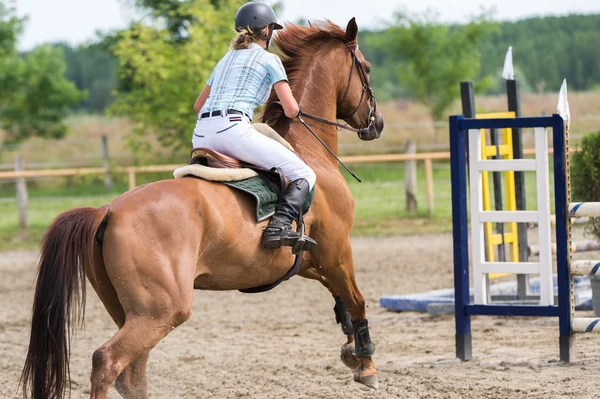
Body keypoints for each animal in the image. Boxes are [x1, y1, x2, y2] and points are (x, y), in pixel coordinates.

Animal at [21, 18, 384, 399]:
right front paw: (366, 364)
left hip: (131, 311)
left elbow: (341, 300)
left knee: (132, 375)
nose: (377, 123)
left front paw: (350, 351)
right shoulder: (336, 251)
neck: (308, 151)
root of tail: (107, 211)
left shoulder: (310, 261)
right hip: (162, 310)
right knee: (108, 361)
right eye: (367, 68)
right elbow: (356, 300)